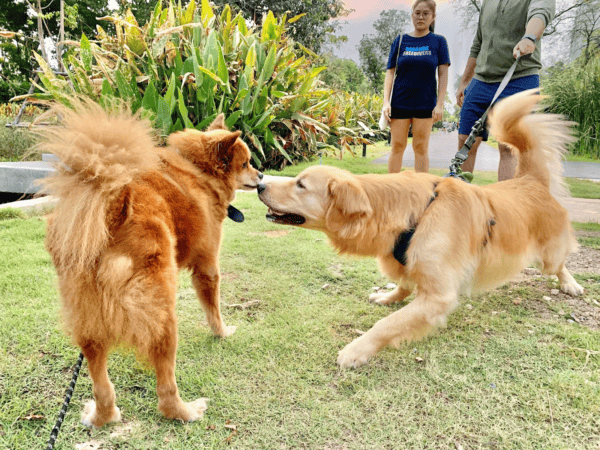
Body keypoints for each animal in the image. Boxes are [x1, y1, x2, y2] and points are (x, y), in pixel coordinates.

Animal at [38, 100, 262, 428]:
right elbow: (214, 310)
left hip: (87, 322)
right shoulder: (207, 266)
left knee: (101, 383)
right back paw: (185, 412)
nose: (262, 177)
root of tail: (112, 209)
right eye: (245, 164)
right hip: (163, 317)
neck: (198, 171)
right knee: (165, 389)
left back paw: (103, 416)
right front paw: (222, 332)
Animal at [256, 91, 580, 370]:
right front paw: (389, 296)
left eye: (300, 184)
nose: (259, 184)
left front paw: (357, 349)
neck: (416, 213)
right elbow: (403, 284)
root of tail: (530, 180)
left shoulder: (438, 296)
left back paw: (571, 284)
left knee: (561, 263)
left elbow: (387, 324)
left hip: (548, 255)